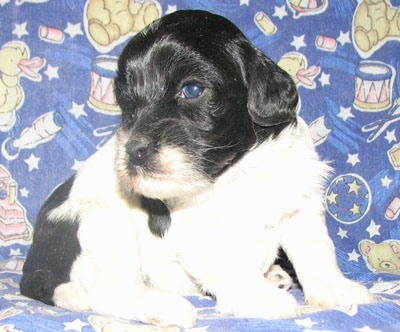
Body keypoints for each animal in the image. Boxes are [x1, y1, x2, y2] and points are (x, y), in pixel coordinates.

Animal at [20, 9, 372, 326]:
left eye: (192, 89)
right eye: (127, 101)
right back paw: (167, 307)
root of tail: (34, 264)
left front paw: (336, 291)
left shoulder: (300, 204)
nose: (133, 151)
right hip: (101, 223)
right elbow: (231, 266)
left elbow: (317, 253)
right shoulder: (199, 232)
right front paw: (260, 299)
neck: (241, 169)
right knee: (110, 292)